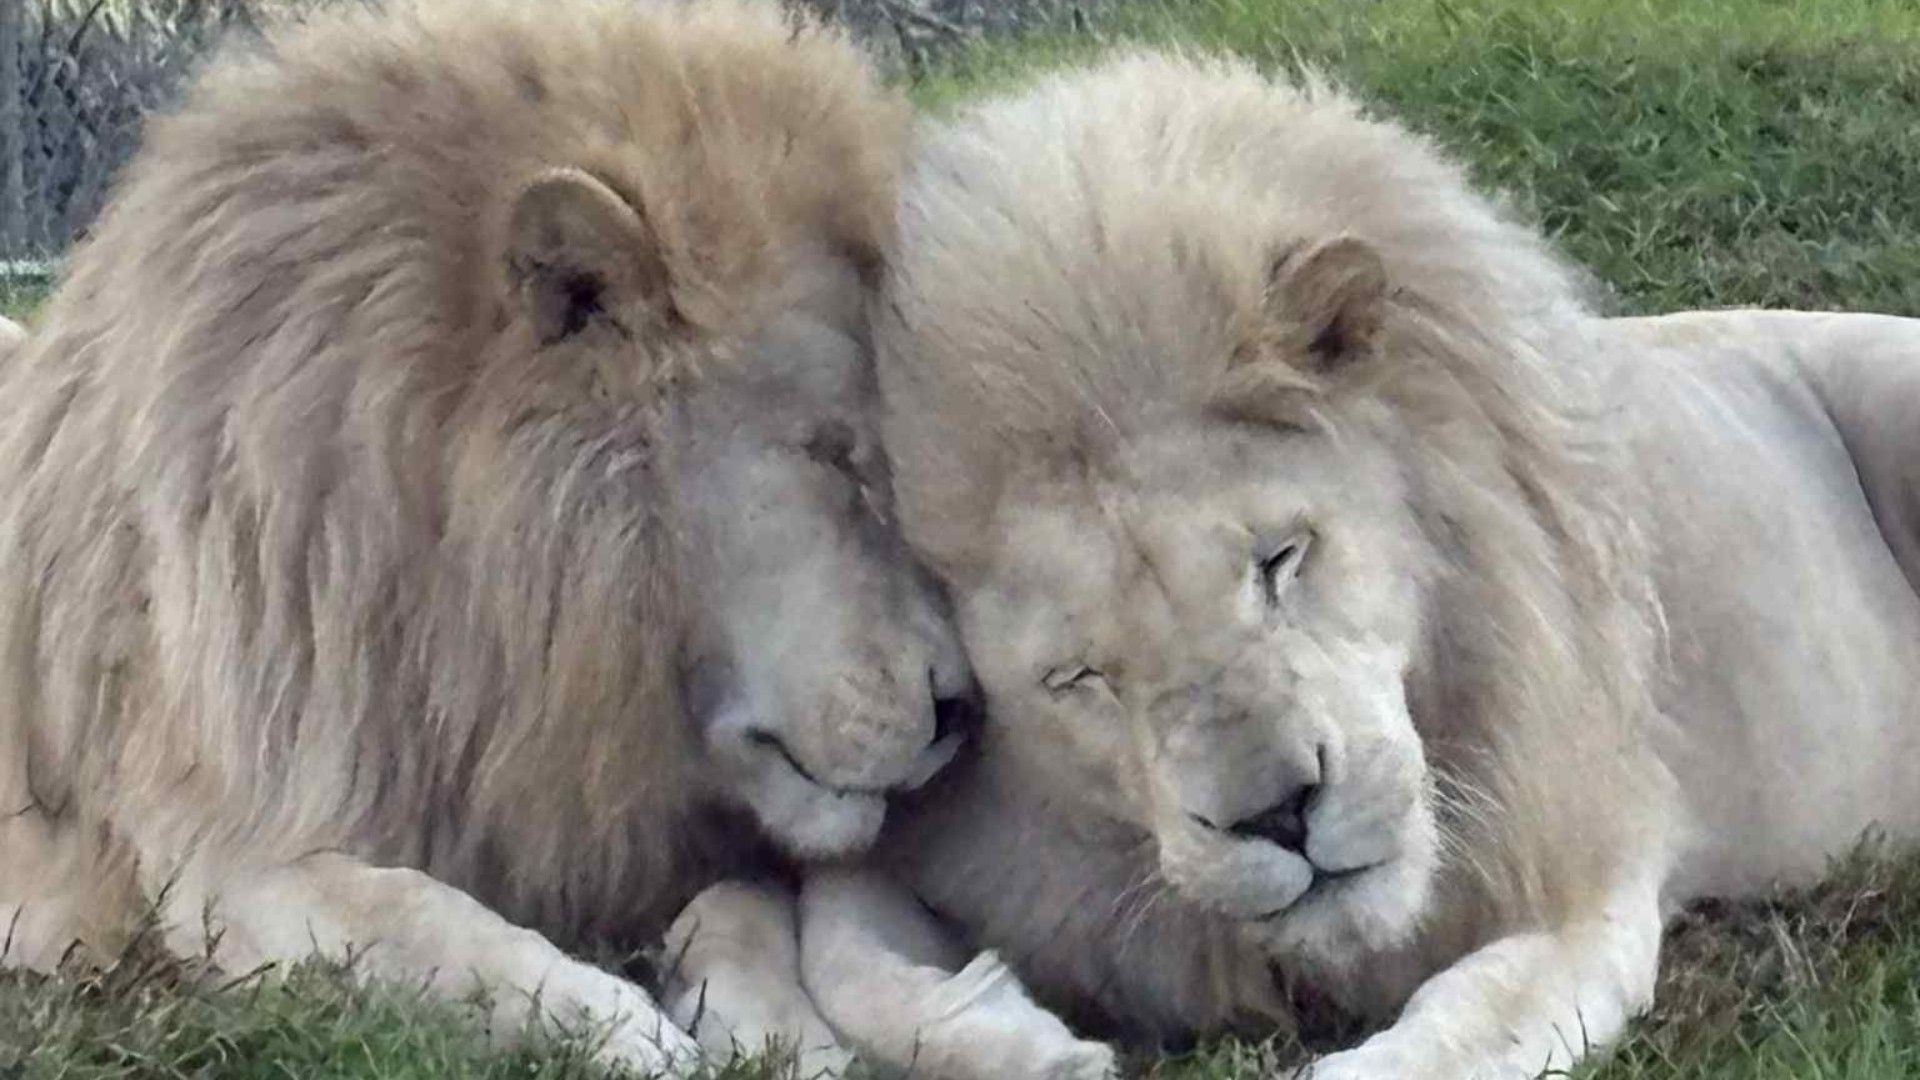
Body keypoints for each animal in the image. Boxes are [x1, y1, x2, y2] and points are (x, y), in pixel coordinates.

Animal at [0, 1, 978, 1073]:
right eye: (834, 454)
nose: (963, 709)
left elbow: (743, 918)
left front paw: (791, 1039)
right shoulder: (219, 846)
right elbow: (435, 922)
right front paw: (634, 1036)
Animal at [744, 53, 1920, 1079]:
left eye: (1281, 559)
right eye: (1077, 678)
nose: (1278, 818)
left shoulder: (1590, 859)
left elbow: (1462, 1023)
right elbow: (838, 948)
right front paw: (1026, 1040)